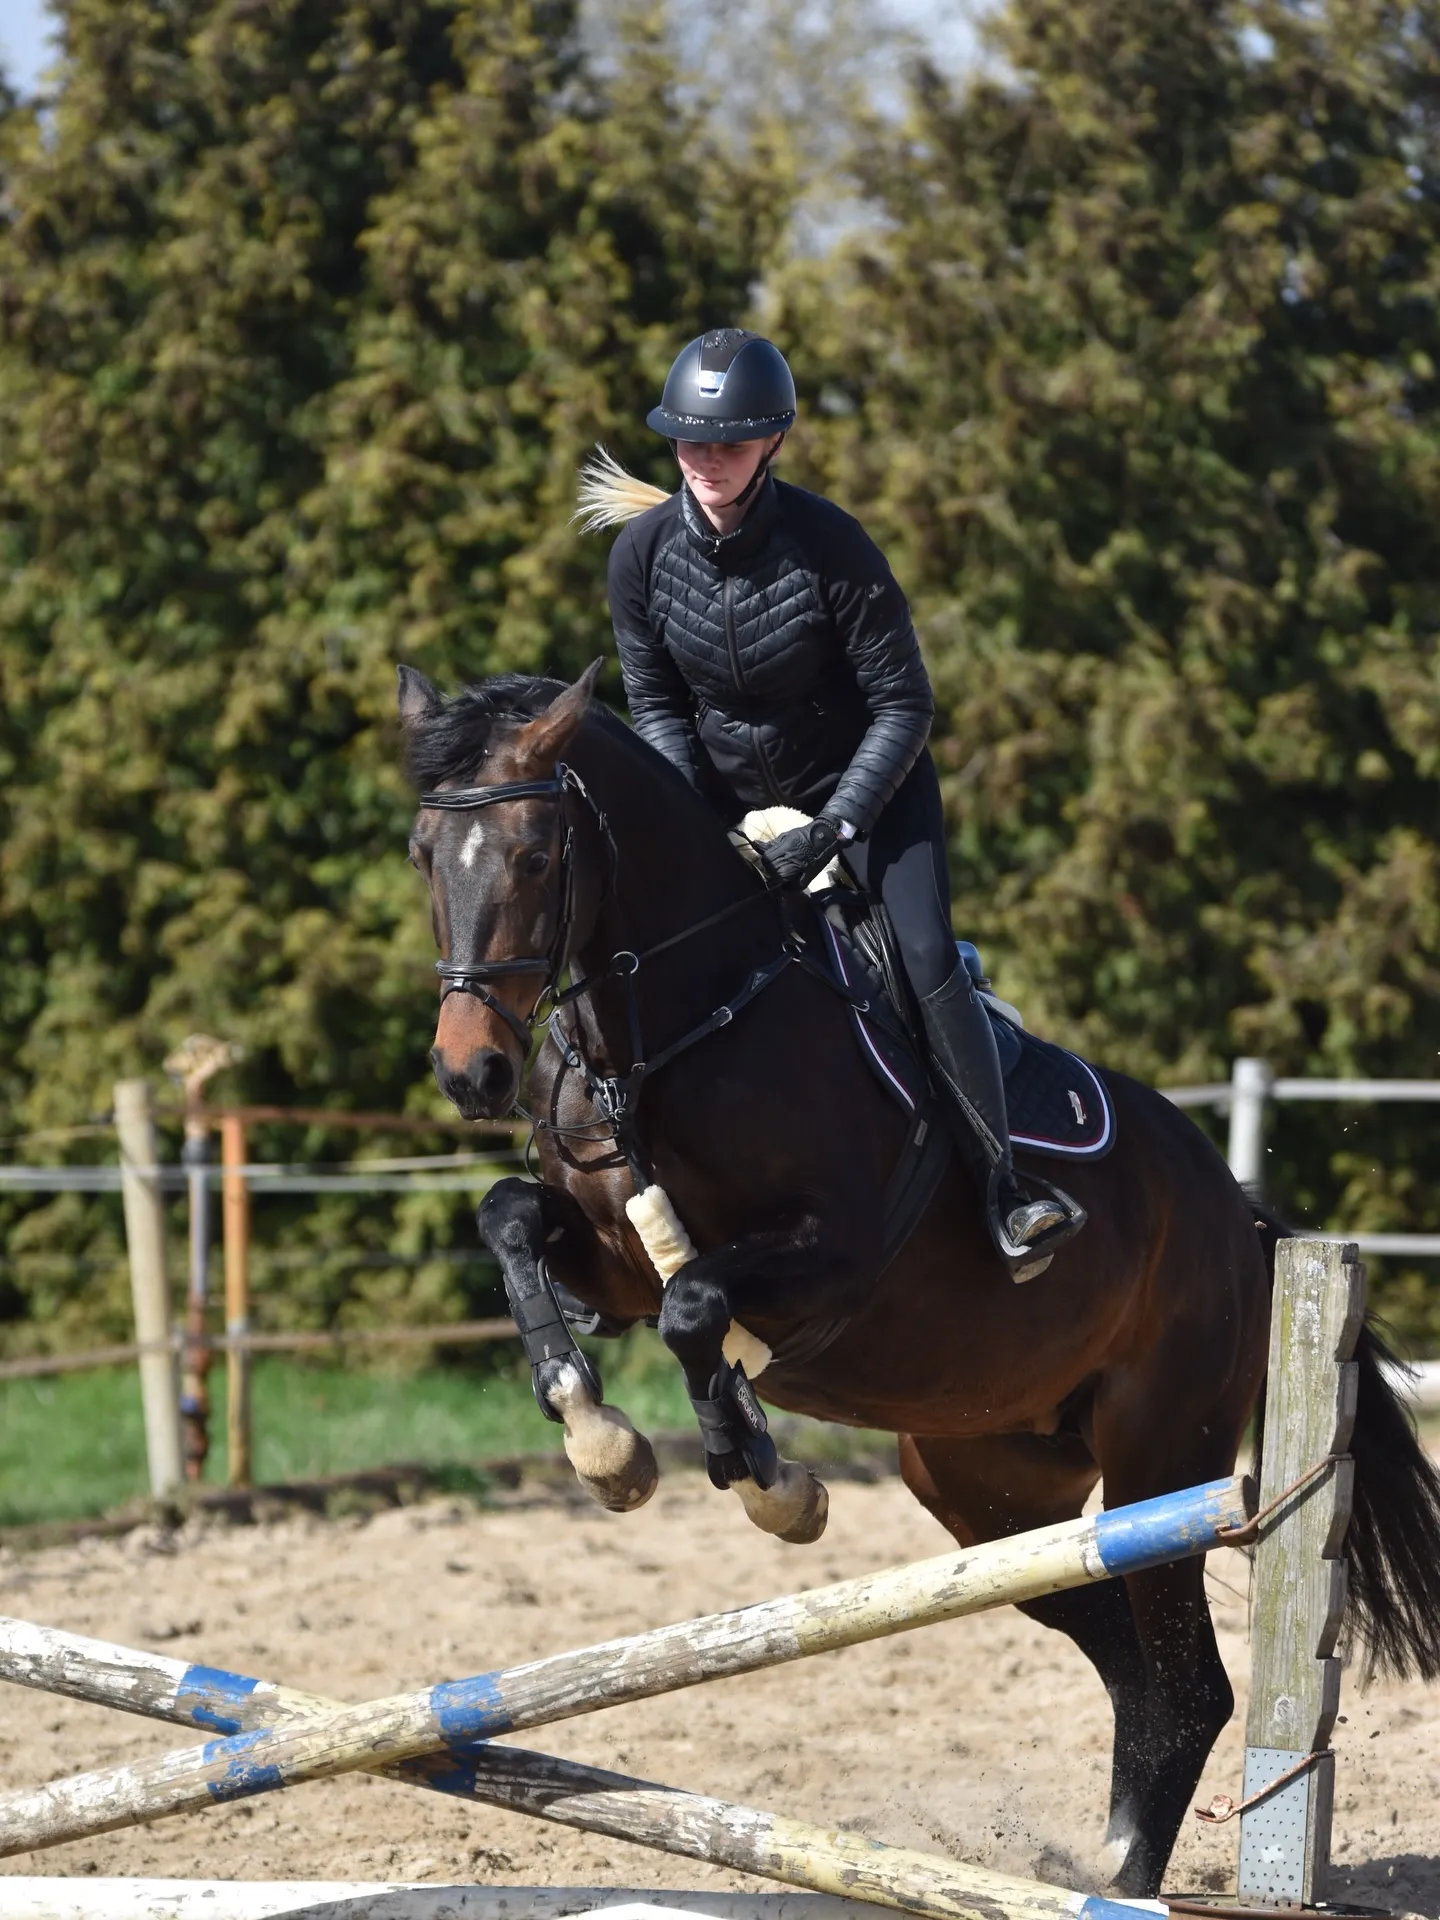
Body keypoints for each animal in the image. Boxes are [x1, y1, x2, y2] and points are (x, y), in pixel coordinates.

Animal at [397, 660, 1440, 1899]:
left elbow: (699, 1309)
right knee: (1128, 1661)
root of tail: (1248, 1219)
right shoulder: (610, 1269)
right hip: (987, 1490)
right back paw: (1102, 1862)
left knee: (1192, 1686)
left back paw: (1121, 1883)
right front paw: (603, 1442)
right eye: (423, 852)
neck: (674, 1026)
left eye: (535, 857)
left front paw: (767, 1478)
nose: (470, 1072)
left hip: (1162, 1461)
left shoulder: (833, 1258)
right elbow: (513, 1222)